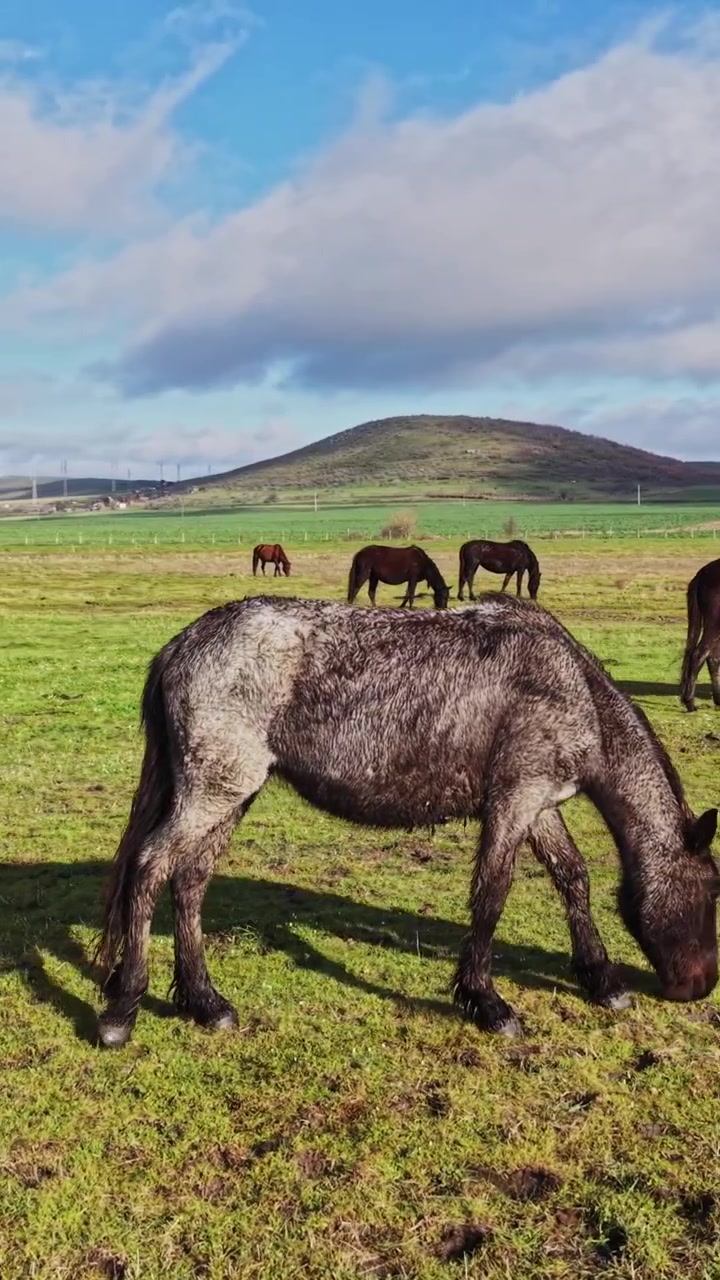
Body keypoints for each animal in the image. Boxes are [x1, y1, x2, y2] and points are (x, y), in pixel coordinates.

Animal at [96, 593, 719, 1049]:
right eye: (714, 891)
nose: (700, 986)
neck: (573, 687)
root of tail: (183, 644)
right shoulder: (515, 800)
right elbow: (492, 896)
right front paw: (487, 1003)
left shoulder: (540, 804)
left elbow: (574, 878)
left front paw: (601, 979)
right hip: (213, 791)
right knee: (150, 868)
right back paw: (122, 1010)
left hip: (230, 794)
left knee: (190, 880)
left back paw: (205, 1003)